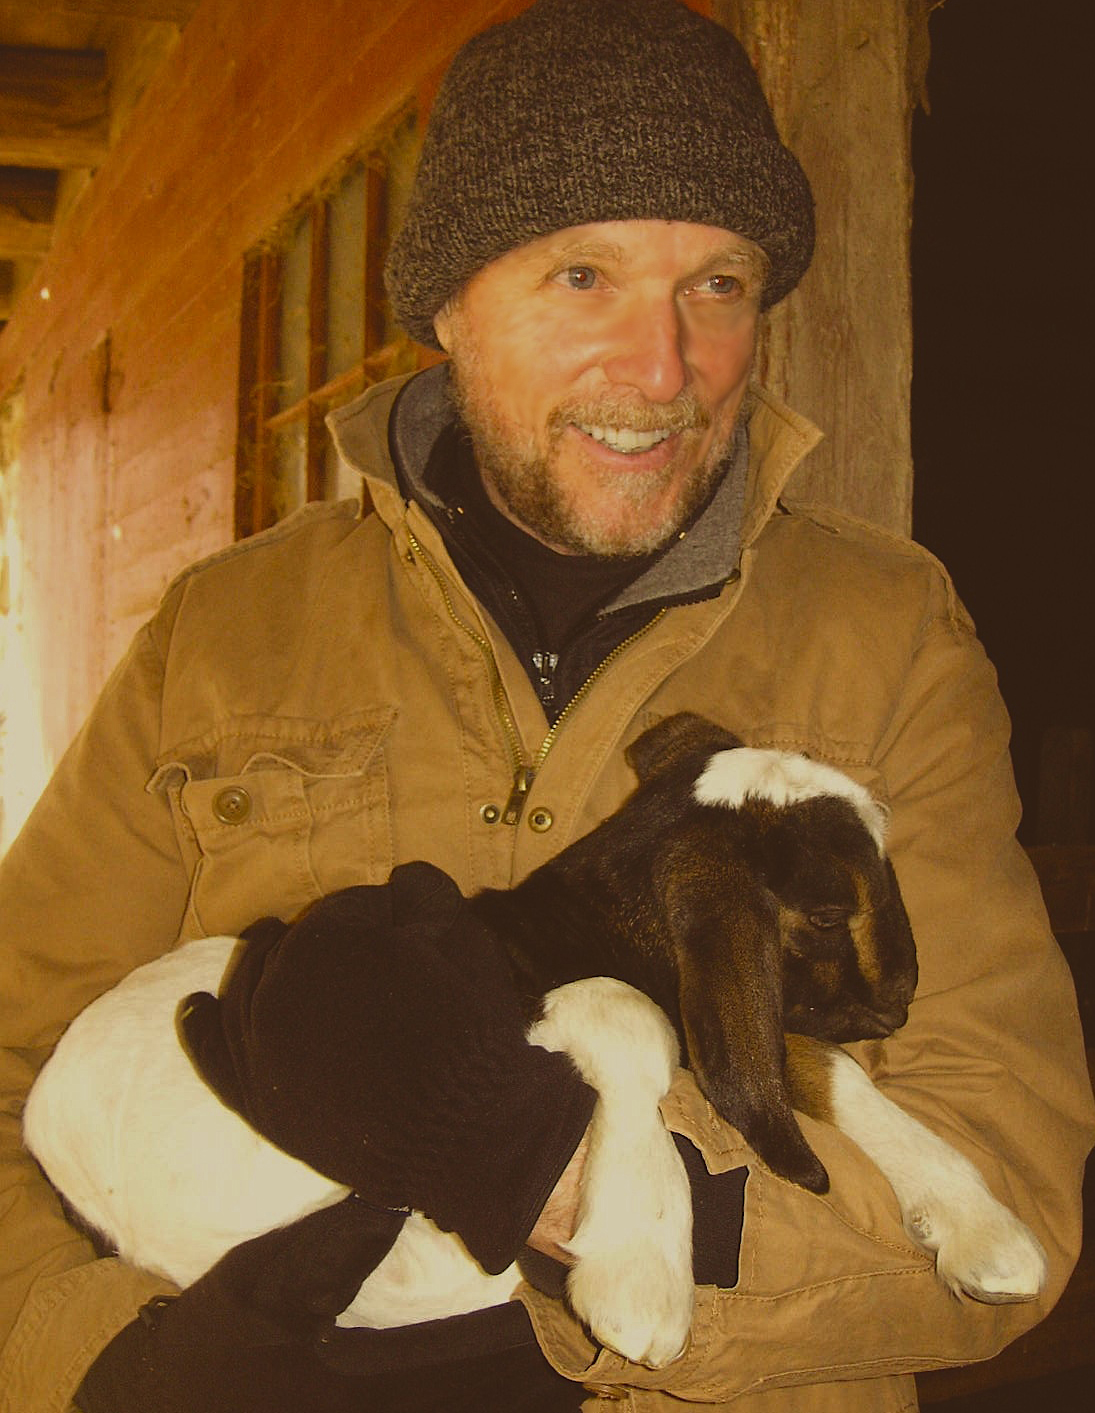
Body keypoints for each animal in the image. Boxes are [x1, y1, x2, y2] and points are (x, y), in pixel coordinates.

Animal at [19, 717, 1045, 1367]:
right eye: (828, 911)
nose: (901, 998)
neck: (576, 927)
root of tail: (40, 1106)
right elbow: (625, 1020)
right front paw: (639, 1280)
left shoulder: (715, 1016)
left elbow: (825, 1073)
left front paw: (986, 1233)